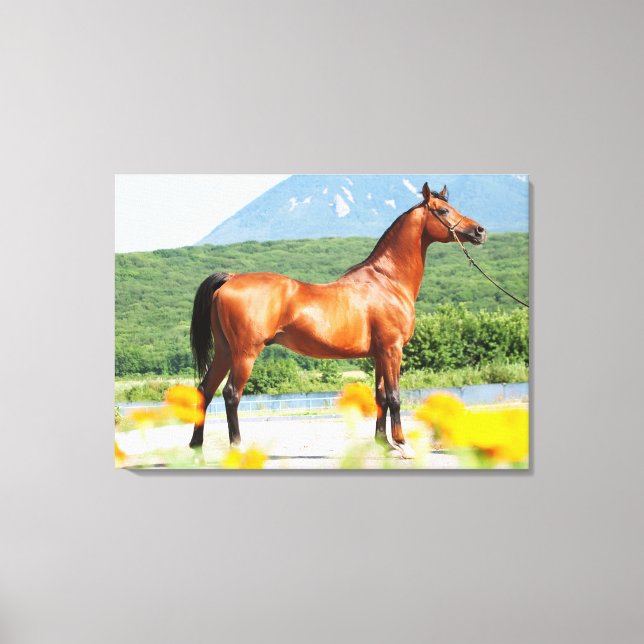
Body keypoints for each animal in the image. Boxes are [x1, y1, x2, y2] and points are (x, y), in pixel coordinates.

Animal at [188, 182, 487, 457]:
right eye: (444, 210)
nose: (480, 231)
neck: (388, 280)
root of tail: (232, 278)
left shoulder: (379, 354)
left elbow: (380, 397)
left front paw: (384, 444)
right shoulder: (393, 350)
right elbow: (394, 397)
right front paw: (403, 445)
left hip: (225, 351)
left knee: (205, 390)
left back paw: (196, 448)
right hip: (245, 353)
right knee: (231, 394)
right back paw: (236, 447)